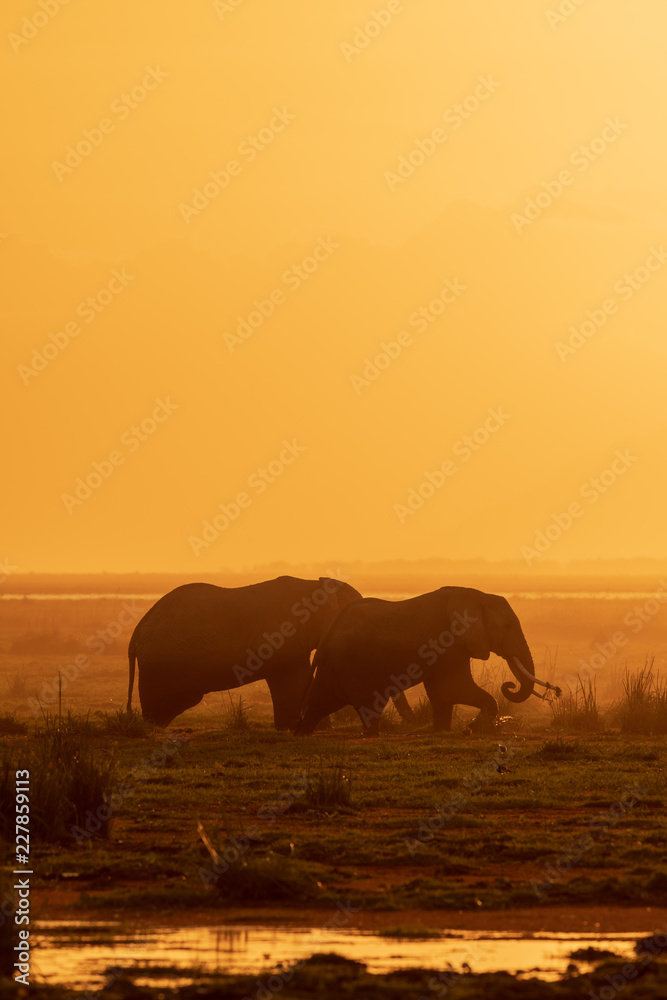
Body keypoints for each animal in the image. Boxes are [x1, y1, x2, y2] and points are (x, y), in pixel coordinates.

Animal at [127, 575, 415, 730]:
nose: (413, 722)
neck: (314, 585)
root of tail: (135, 635)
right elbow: (290, 681)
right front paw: (293, 728)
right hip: (161, 665)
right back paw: (151, 729)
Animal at [294, 586, 560, 736]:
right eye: (507, 627)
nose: (509, 685)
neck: (477, 596)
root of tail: (328, 633)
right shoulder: (448, 642)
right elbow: (453, 688)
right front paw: (473, 727)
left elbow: (442, 693)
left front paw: (444, 730)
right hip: (354, 665)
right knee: (368, 703)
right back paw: (371, 735)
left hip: (336, 665)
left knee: (321, 700)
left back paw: (302, 733)